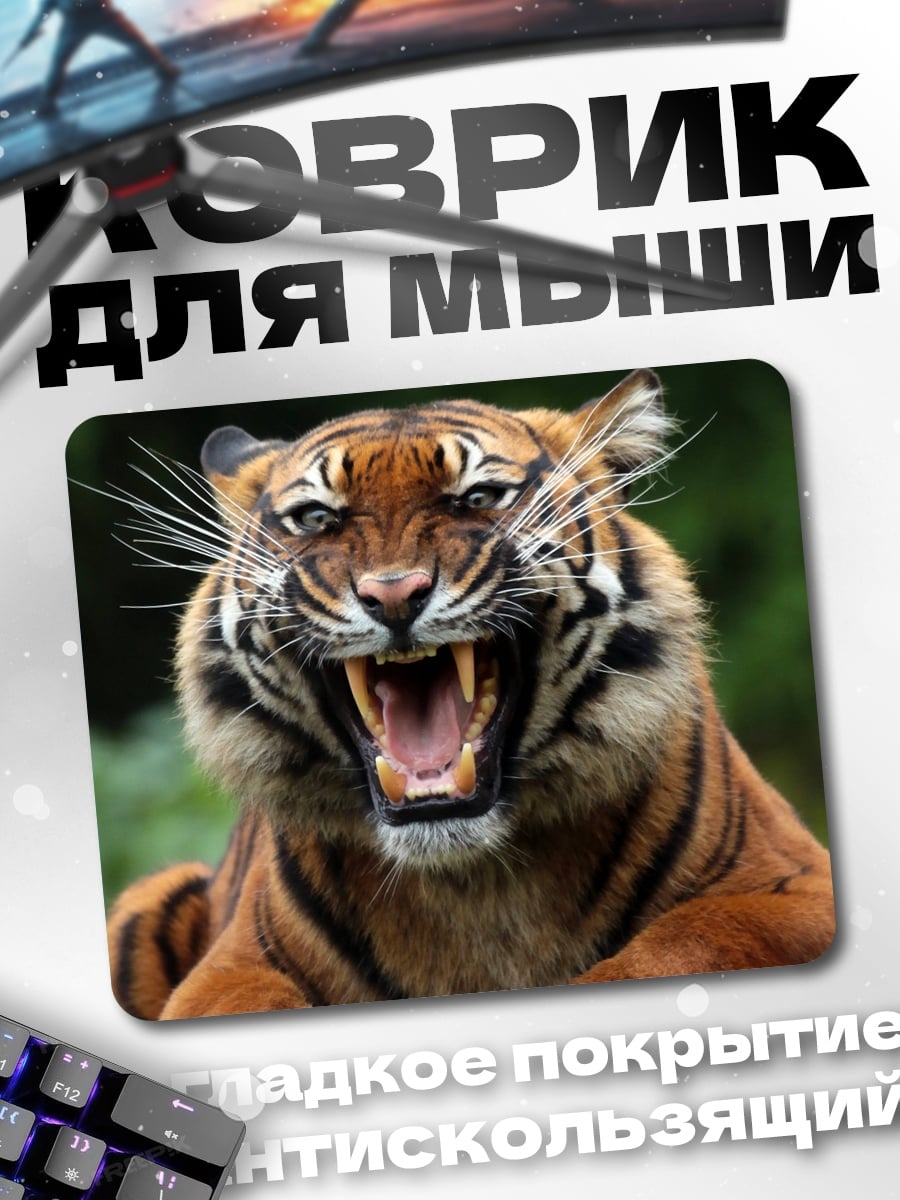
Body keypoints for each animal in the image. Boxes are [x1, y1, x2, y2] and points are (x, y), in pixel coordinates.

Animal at [106, 368, 835, 1020]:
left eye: (479, 498)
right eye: (315, 517)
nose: (393, 594)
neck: (474, 881)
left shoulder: (795, 886)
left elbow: (683, 941)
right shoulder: (232, 966)